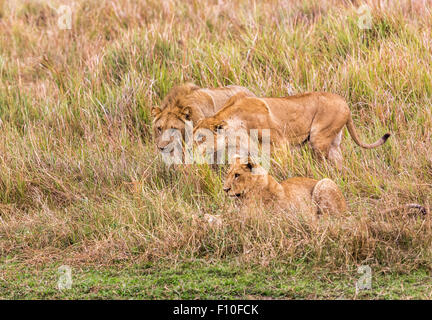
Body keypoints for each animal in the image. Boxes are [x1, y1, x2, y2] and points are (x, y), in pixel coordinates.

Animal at [194, 92, 394, 169]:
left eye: (200, 138)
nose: (189, 149)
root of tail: (344, 102)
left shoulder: (279, 142)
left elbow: (282, 165)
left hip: (318, 138)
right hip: (334, 142)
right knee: (338, 161)